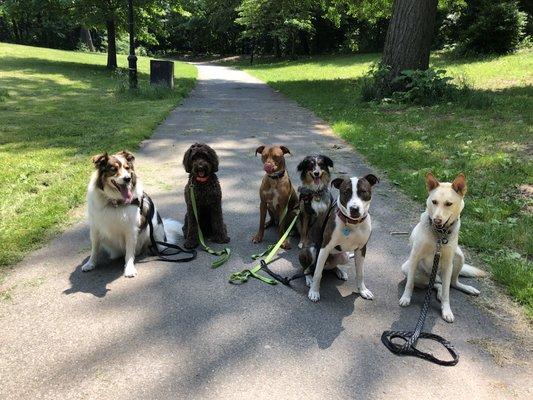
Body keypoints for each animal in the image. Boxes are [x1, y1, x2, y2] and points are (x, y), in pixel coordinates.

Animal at [82, 150, 182, 278]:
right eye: (114, 169)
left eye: (127, 168)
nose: (127, 179)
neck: (115, 202)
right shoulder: (95, 228)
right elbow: (94, 249)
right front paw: (90, 263)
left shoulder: (131, 229)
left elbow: (129, 252)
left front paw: (129, 269)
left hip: (155, 236)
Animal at [304, 173, 378, 302]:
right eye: (346, 192)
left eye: (363, 191)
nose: (354, 209)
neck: (353, 224)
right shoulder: (324, 248)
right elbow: (318, 273)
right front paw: (314, 291)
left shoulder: (361, 249)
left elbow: (360, 273)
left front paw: (363, 291)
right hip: (311, 250)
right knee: (307, 269)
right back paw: (309, 278)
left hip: (344, 256)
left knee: (330, 267)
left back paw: (340, 272)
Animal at [402, 173, 484, 324]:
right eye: (434, 202)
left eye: (448, 204)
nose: (437, 220)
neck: (440, 235)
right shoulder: (415, 257)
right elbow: (409, 284)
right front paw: (405, 298)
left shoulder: (447, 265)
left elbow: (447, 293)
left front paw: (446, 311)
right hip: (408, 268)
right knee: (433, 284)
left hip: (459, 257)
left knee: (451, 283)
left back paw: (467, 288)